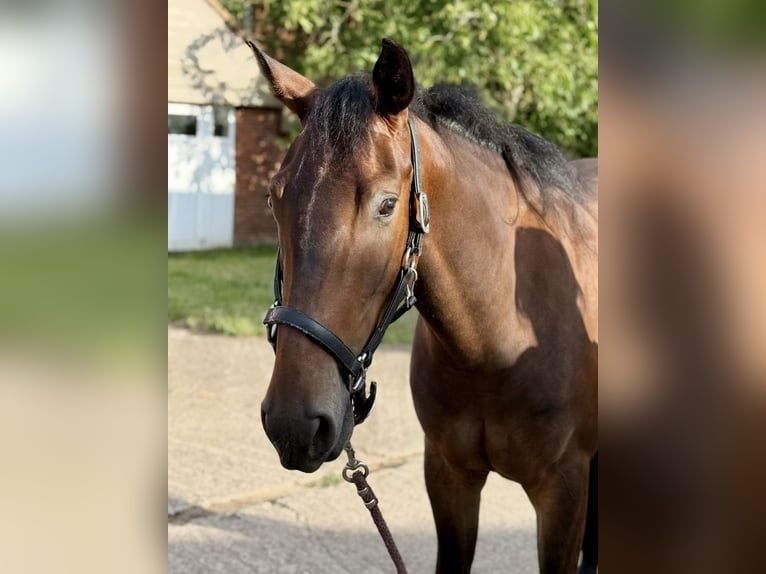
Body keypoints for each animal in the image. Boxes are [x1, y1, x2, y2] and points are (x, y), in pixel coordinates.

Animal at [249, 38, 598, 574]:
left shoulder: (563, 492)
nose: (294, 424)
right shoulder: (449, 477)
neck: (500, 339)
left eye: (387, 204)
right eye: (274, 198)